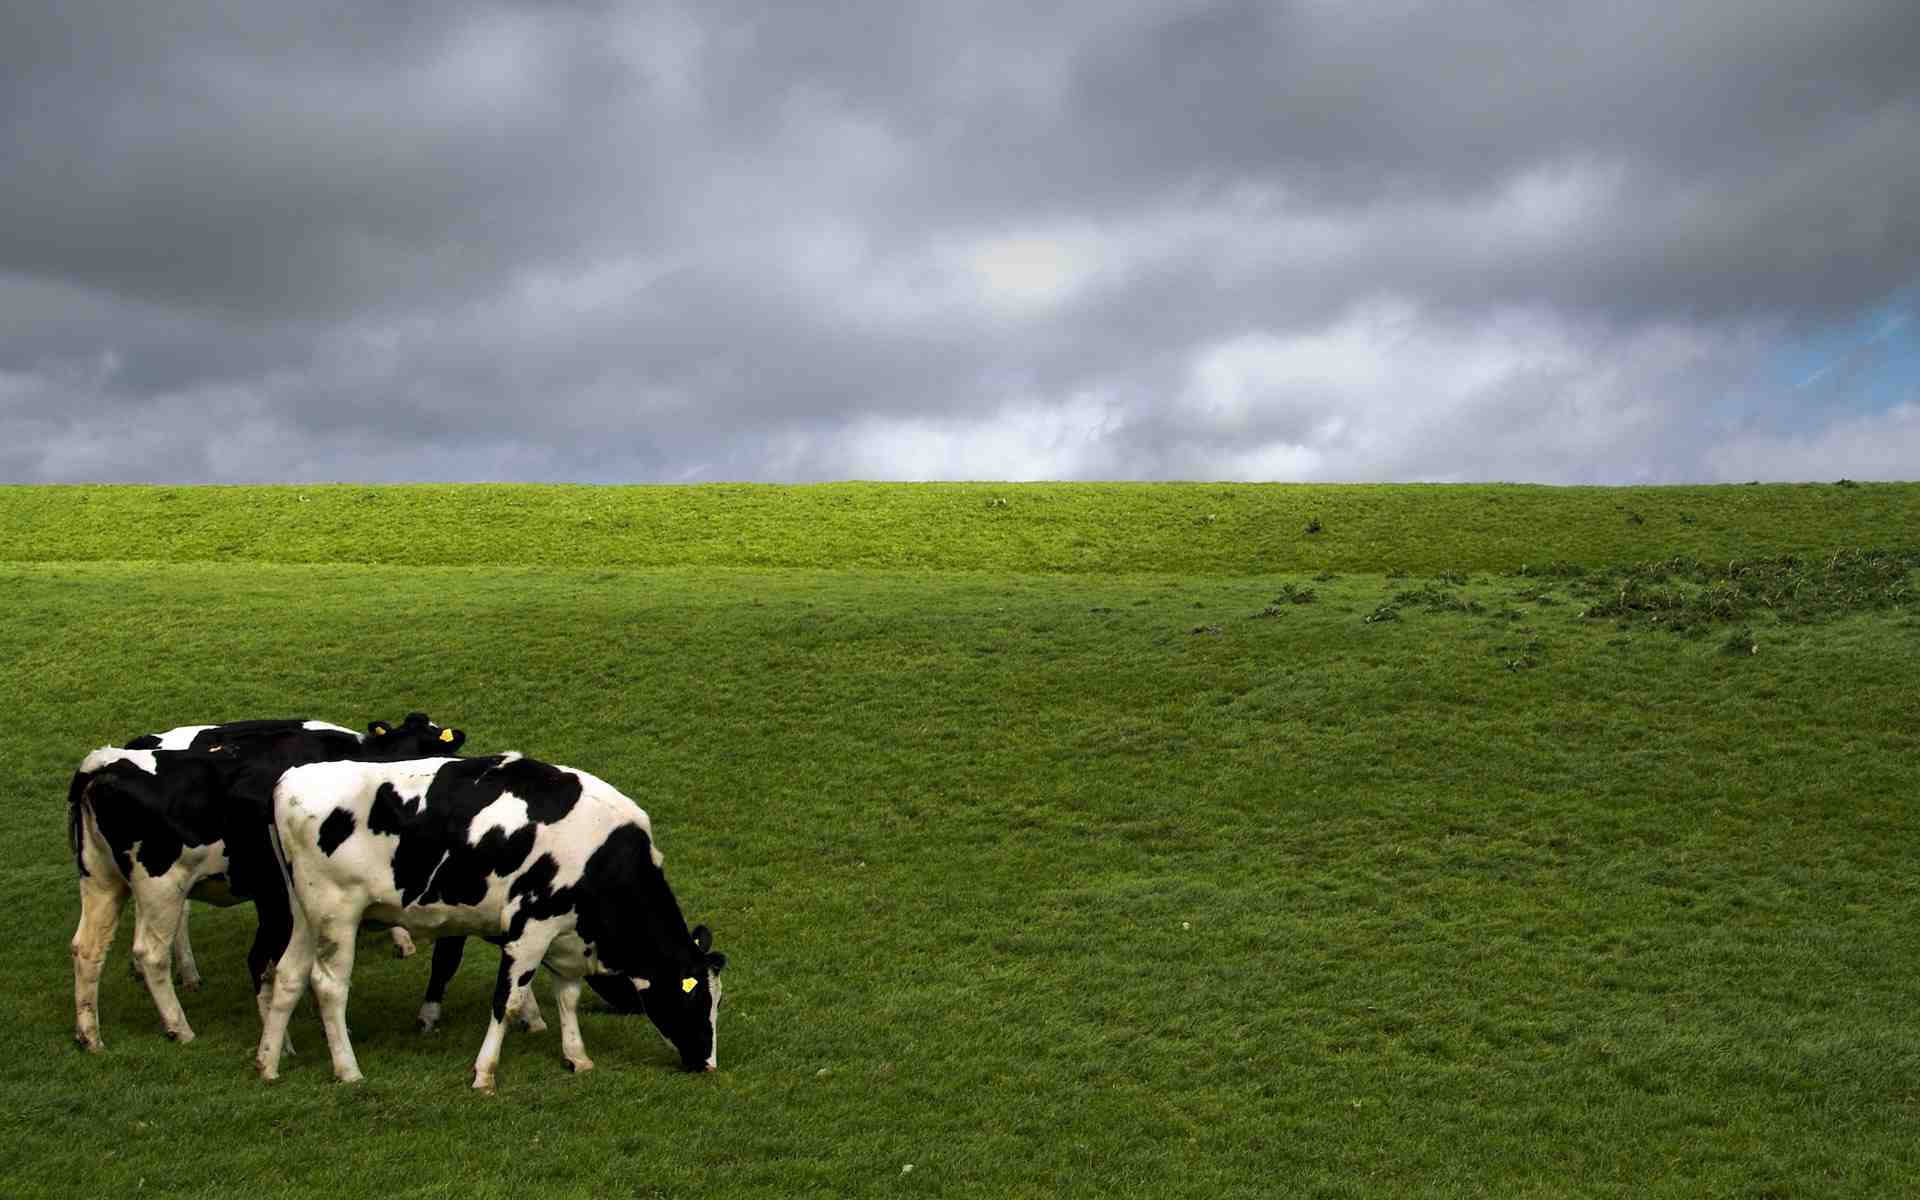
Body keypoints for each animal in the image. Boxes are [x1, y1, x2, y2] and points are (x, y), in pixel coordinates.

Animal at [72, 710, 470, 1044]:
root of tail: (103, 765)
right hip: (161, 883)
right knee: (151, 952)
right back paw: (179, 1026)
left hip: (102, 881)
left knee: (87, 947)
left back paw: (90, 1035)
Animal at [259, 748, 721, 1082]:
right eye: (696, 998)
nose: (707, 1064)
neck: (603, 854)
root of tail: (289, 779)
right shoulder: (530, 930)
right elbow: (508, 1001)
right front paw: (484, 1073)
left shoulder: (564, 936)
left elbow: (567, 996)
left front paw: (577, 1057)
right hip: (337, 914)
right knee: (329, 986)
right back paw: (348, 1070)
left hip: (304, 912)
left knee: (287, 975)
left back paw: (268, 1064)